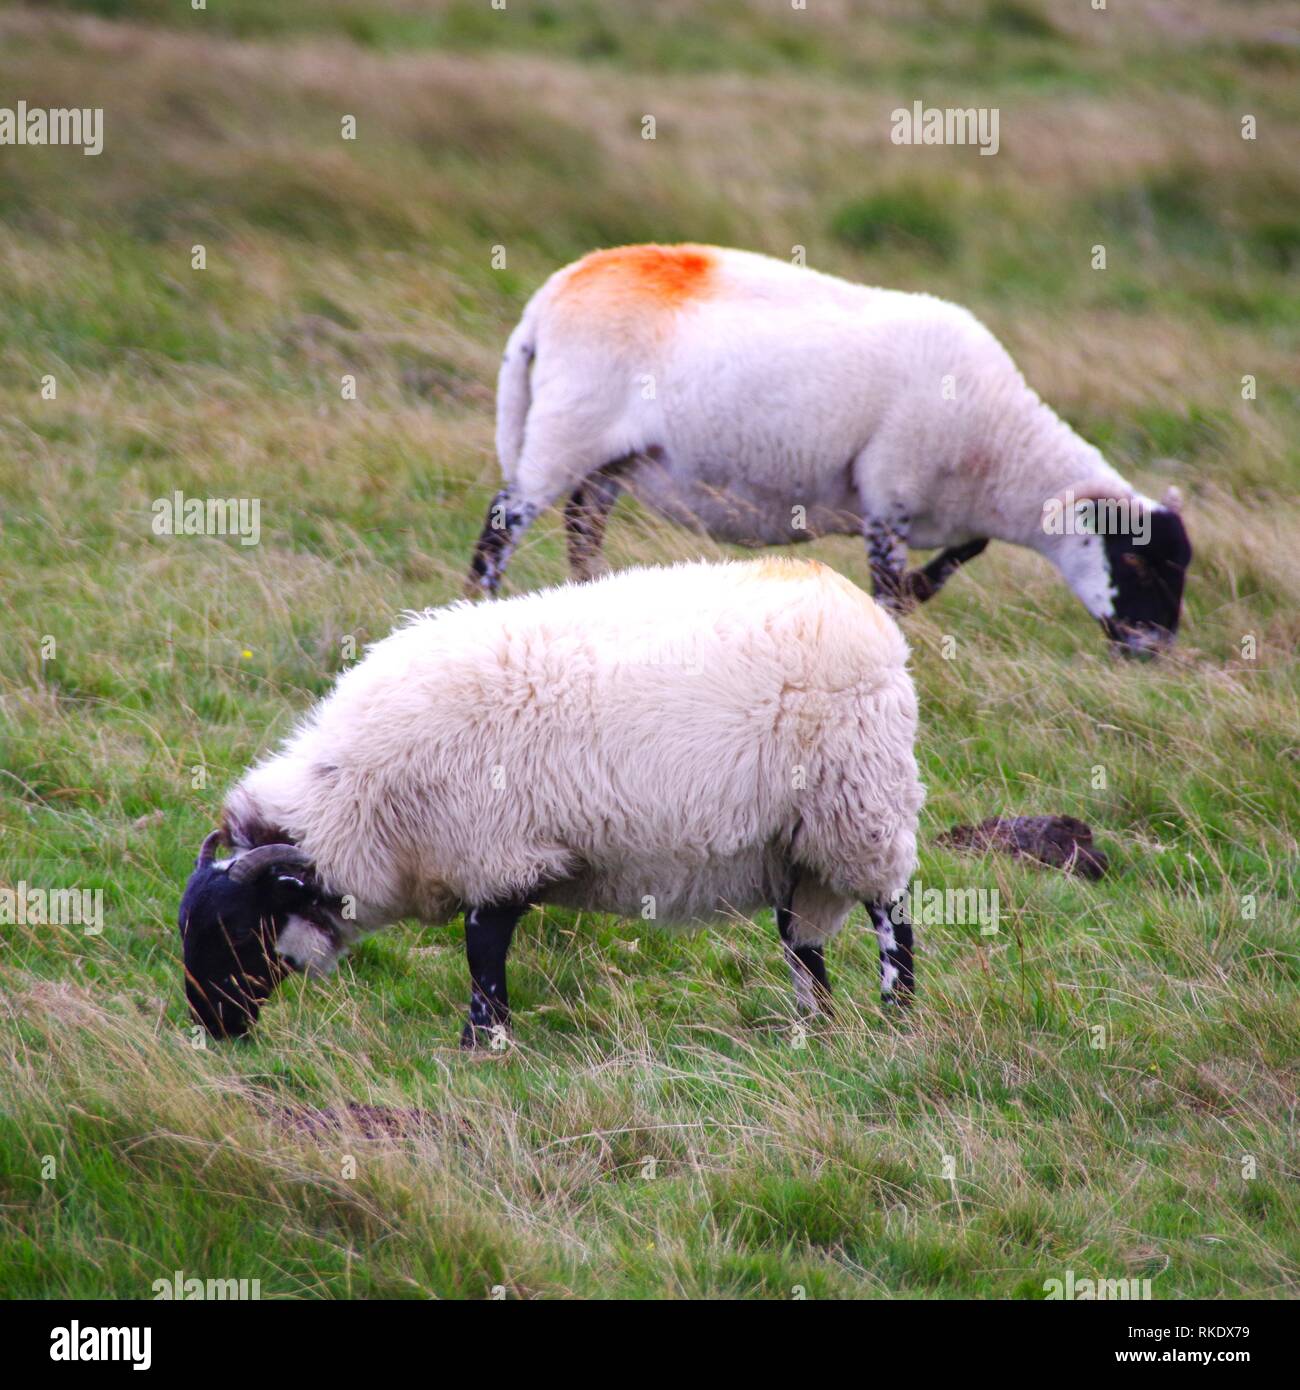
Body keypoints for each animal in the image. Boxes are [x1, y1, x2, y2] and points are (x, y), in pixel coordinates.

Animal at [177, 553, 923, 1045]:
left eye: (238, 931)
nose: (214, 1028)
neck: (362, 797)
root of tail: (862, 612)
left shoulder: (496, 853)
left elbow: (483, 954)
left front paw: (483, 1043)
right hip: (796, 838)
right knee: (802, 941)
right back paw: (811, 1025)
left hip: (859, 804)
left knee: (891, 912)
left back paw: (898, 1012)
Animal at [472, 241, 1195, 653]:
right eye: (1134, 562)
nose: (1153, 647)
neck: (1003, 451)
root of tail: (550, 295)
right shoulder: (890, 496)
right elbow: (889, 591)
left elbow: (961, 556)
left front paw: (923, 587)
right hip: (568, 429)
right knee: (501, 528)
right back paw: (478, 604)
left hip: (607, 460)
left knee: (581, 532)